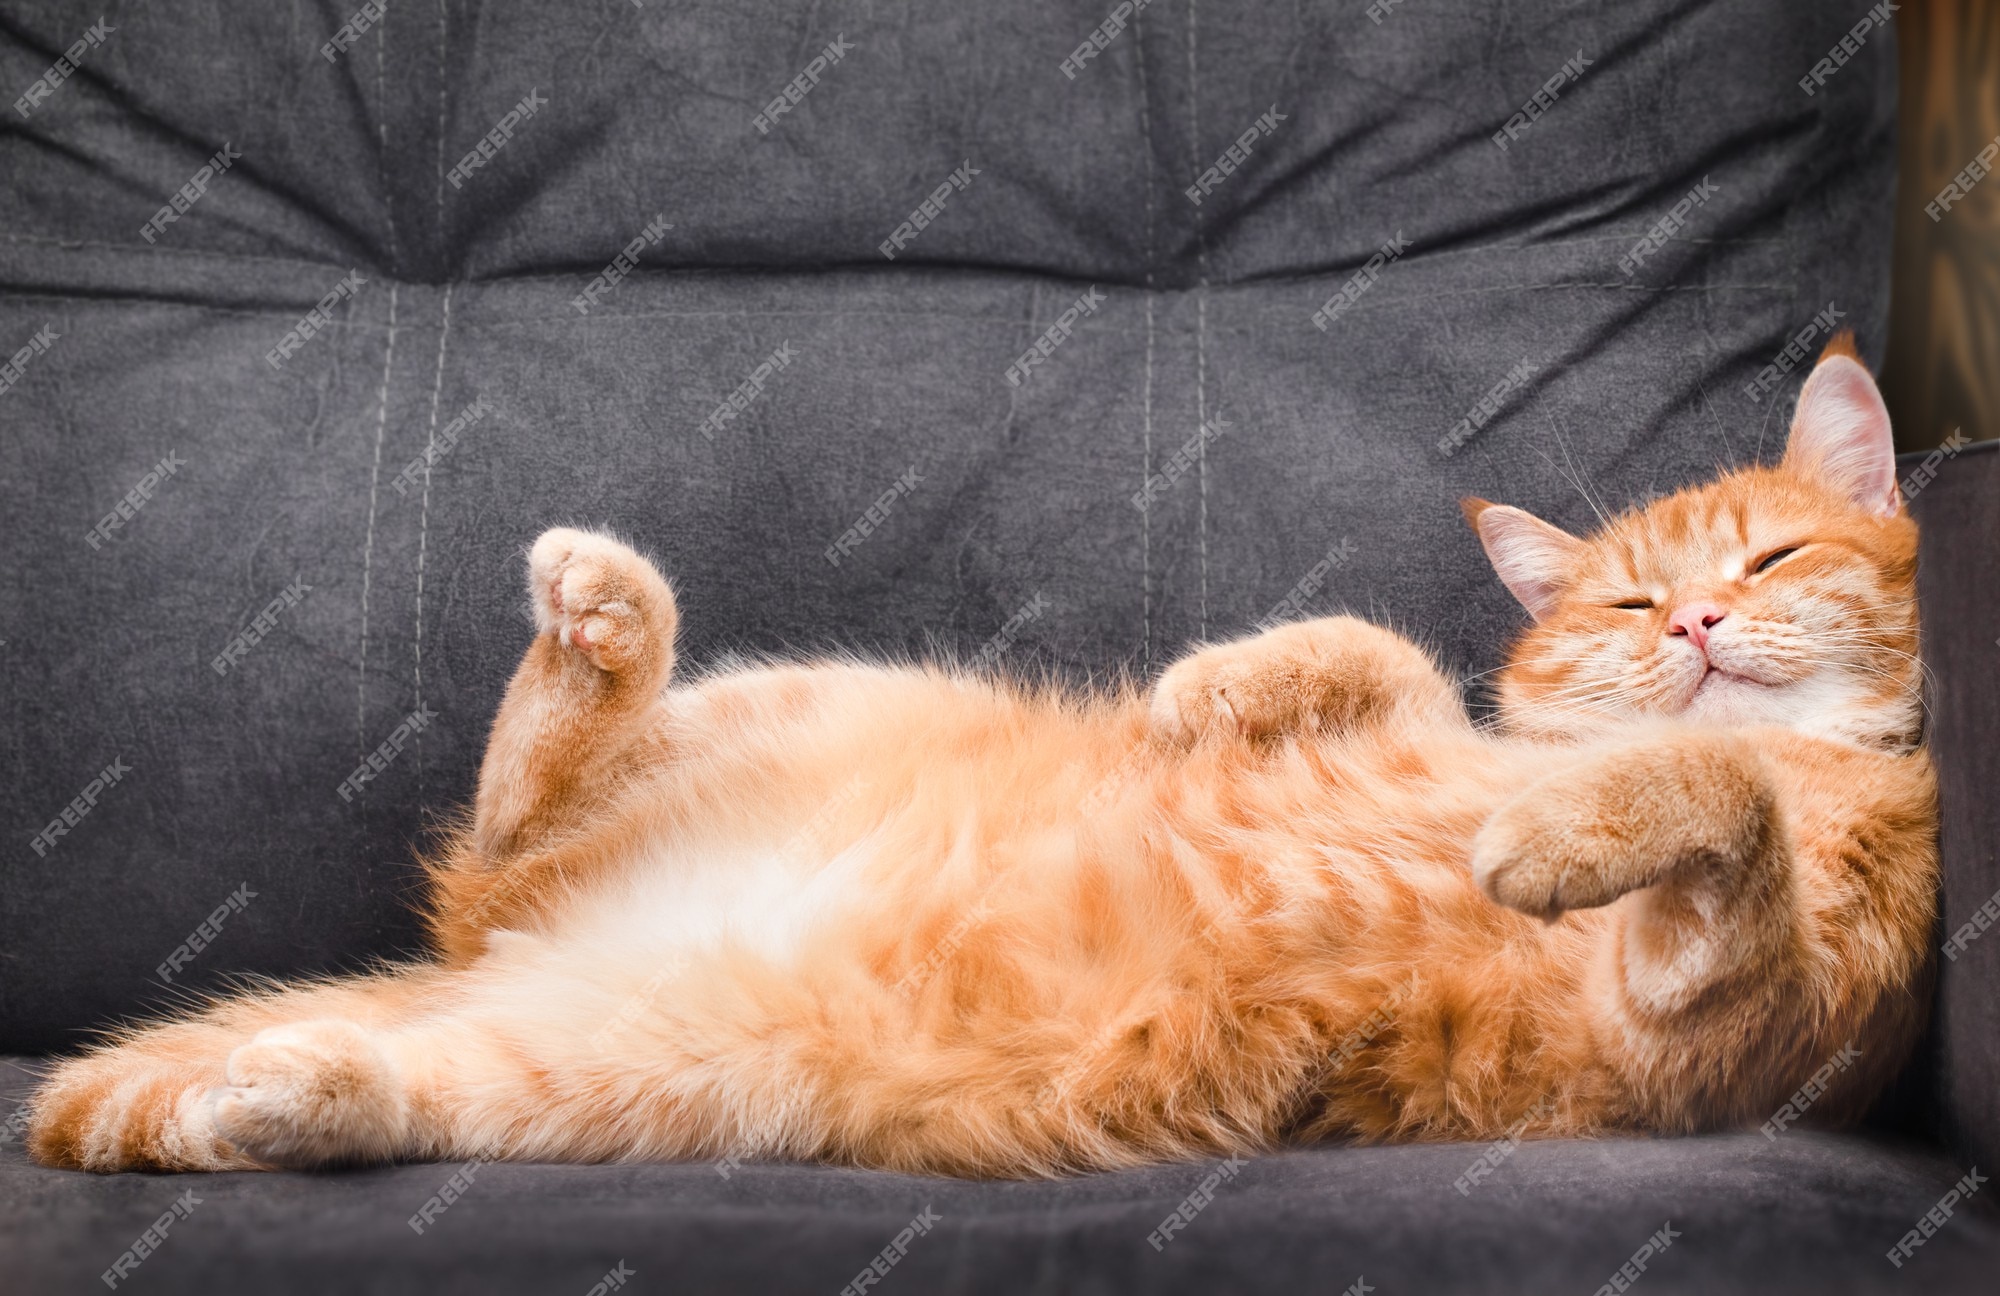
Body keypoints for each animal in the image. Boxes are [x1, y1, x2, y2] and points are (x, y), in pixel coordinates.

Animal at [27, 340, 1936, 1176]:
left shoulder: (1725, 1036)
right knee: (514, 821)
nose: (1696, 628)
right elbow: (1404, 668)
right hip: (818, 695)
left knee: (425, 1028)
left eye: (1773, 561)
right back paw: (596, 638)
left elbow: (1724, 802)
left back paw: (287, 1090)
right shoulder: (1466, 727)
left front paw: (1559, 823)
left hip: (639, 1081)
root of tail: (508, 961)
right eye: (1626, 600)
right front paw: (1211, 687)